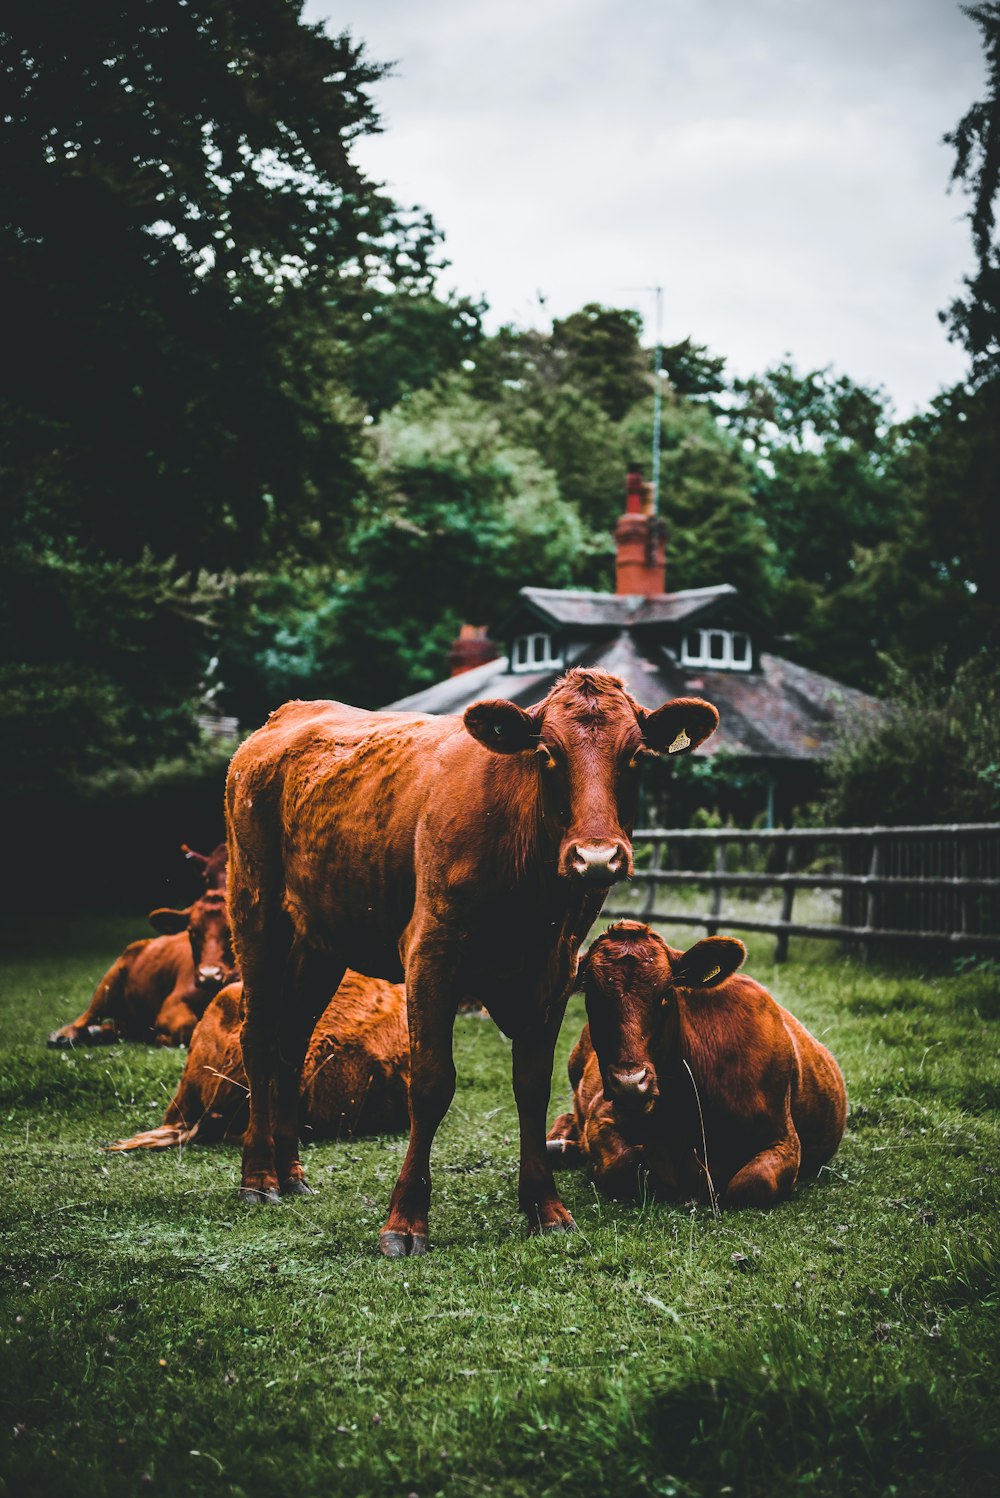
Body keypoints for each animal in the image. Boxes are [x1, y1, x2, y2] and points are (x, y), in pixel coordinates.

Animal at [47, 850, 238, 1048]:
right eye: (192, 931)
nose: (209, 975)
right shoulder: (172, 1005)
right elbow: (187, 1027)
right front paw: (160, 1036)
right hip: (109, 981)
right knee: (90, 1014)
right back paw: (65, 1034)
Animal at [224, 668, 718, 1252]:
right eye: (546, 753)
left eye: (636, 754)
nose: (596, 856)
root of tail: (286, 716)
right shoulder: (429, 956)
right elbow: (431, 1083)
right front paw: (405, 1220)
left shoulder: (553, 974)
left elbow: (531, 1086)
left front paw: (545, 1206)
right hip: (255, 910)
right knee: (259, 1038)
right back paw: (258, 1177)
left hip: (319, 941)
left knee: (292, 1041)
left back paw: (291, 1171)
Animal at [547, 916, 844, 1210]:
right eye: (592, 996)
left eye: (666, 993)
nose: (629, 1082)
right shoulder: (601, 1111)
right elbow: (626, 1163)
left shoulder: (784, 1140)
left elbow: (751, 1182)